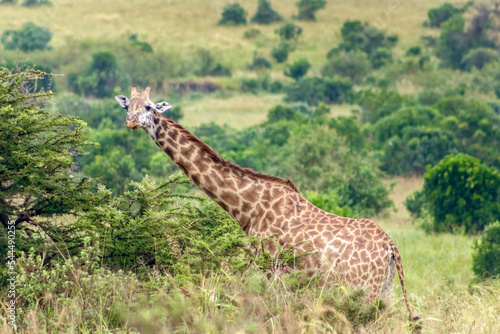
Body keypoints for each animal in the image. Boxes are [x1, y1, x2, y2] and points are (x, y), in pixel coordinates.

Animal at [115, 86, 420, 328]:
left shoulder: (270, 270)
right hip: (384, 291)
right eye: (127, 106)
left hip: (362, 290)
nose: (131, 122)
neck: (248, 208)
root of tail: (391, 247)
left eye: (149, 106)